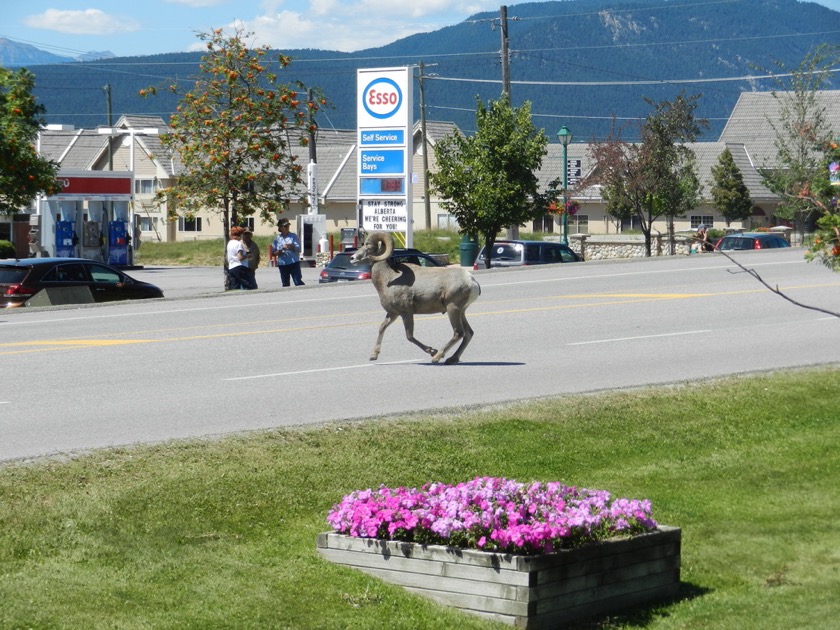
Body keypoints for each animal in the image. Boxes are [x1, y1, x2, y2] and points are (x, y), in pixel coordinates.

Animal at [350, 233, 480, 366]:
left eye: (369, 245)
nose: (352, 258)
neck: (388, 278)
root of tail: (472, 282)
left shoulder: (406, 313)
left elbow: (409, 336)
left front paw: (432, 351)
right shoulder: (393, 313)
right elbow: (382, 328)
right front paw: (373, 355)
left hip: (453, 309)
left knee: (458, 333)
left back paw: (437, 357)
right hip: (461, 311)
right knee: (468, 333)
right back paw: (452, 359)